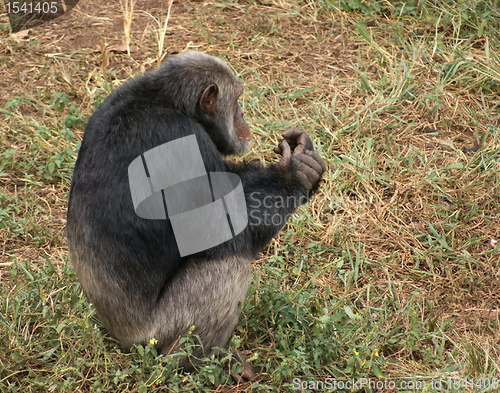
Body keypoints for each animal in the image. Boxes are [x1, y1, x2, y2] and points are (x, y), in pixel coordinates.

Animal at [66, 50, 326, 378]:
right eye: (237, 99)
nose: (243, 118)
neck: (165, 101)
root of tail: (120, 340)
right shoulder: (183, 143)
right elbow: (227, 224)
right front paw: (295, 173)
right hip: (157, 333)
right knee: (228, 267)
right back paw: (202, 360)